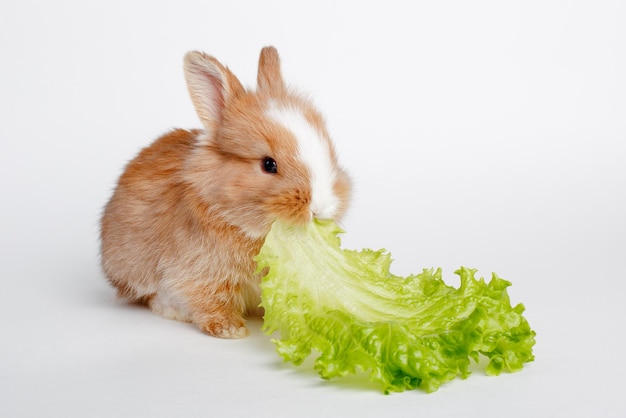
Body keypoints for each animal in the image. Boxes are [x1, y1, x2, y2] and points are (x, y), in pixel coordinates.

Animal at [98, 47, 352, 338]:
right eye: (268, 164)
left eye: (328, 150)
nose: (320, 208)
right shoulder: (201, 273)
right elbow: (211, 300)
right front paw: (230, 330)